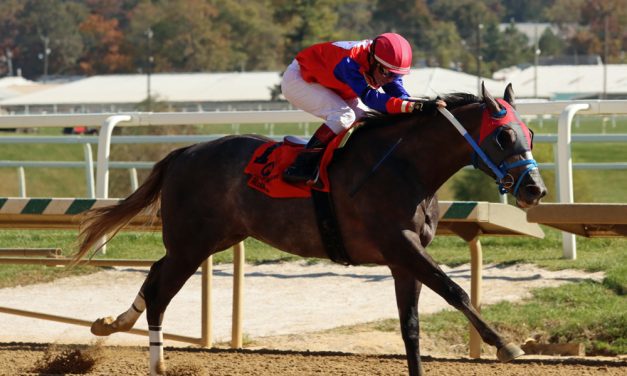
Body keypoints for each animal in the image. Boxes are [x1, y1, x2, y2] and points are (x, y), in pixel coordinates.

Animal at [72, 83, 544, 374]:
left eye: (531, 133)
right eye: (504, 136)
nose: (535, 188)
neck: (405, 165)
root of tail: (184, 153)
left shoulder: (402, 260)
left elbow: (410, 326)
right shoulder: (401, 244)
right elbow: (454, 291)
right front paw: (505, 345)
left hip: (211, 239)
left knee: (154, 275)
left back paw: (110, 323)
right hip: (192, 243)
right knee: (160, 294)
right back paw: (157, 362)